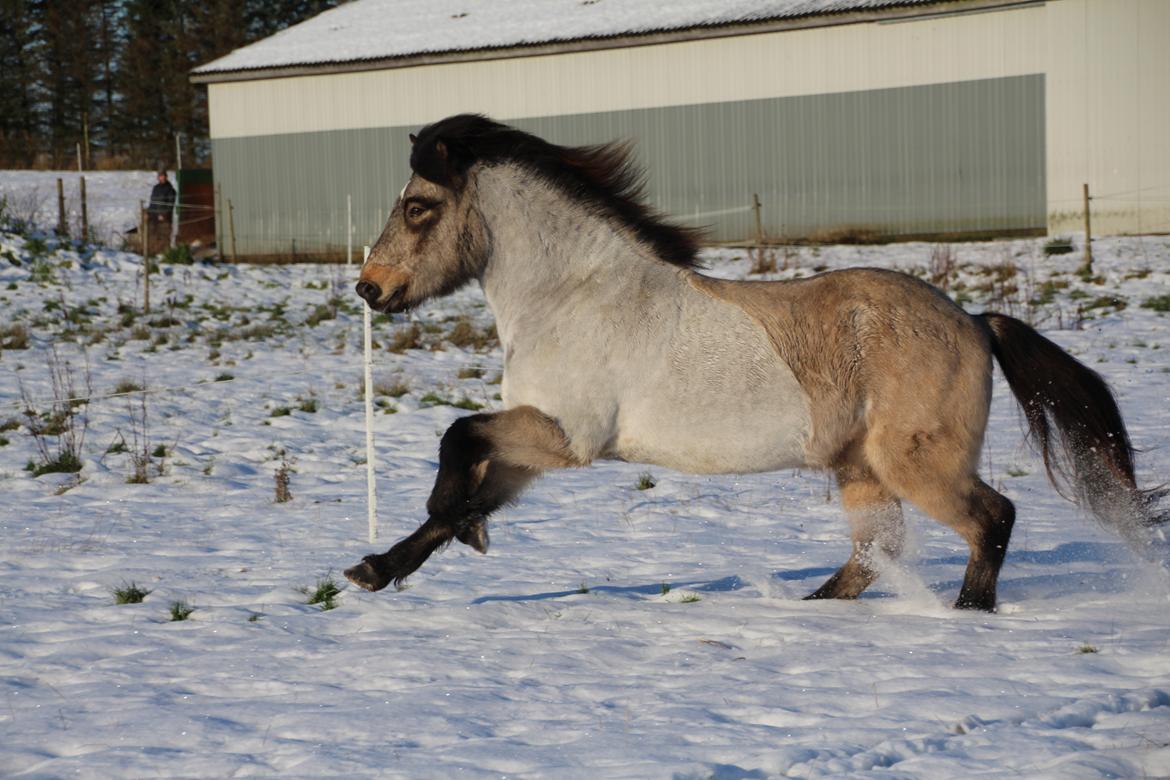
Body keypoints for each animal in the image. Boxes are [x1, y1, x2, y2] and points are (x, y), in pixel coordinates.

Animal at [341, 114, 1165, 608]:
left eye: (417, 207)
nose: (369, 287)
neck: (574, 294)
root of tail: (972, 320)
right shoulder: (538, 440)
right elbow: (471, 476)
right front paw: (380, 567)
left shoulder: (565, 437)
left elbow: (457, 440)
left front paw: (455, 525)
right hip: (860, 469)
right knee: (875, 552)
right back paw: (814, 610)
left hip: (915, 463)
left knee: (991, 518)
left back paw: (967, 613)